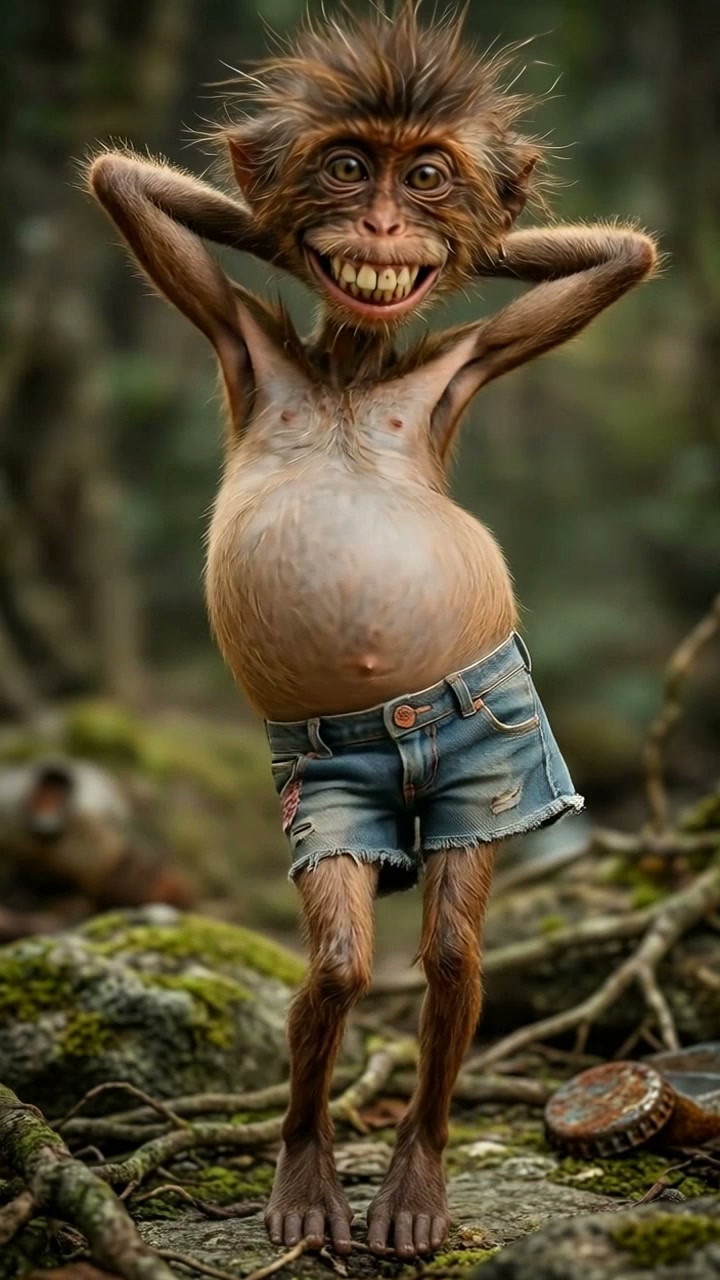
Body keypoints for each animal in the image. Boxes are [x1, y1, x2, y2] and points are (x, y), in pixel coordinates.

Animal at [84, 1, 658, 1261]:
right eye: (349, 167)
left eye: (426, 175)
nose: (388, 224)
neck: (351, 372)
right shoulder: (237, 337)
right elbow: (124, 182)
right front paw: (265, 214)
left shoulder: (462, 368)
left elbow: (618, 257)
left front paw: (490, 234)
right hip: (335, 797)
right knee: (350, 965)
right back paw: (318, 1178)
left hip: (504, 763)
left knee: (451, 956)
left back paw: (416, 1183)